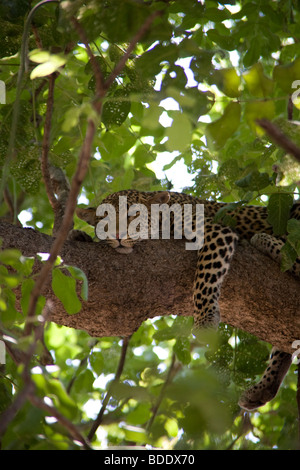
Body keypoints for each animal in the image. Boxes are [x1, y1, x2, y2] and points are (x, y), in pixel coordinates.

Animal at [75, 190, 300, 412]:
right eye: (104, 222)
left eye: (132, 215)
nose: (117, 236)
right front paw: (78, 235)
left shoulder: (214, 230)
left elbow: (205, 274)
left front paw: (205, 319)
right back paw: (261, 390)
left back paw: (267, 242)